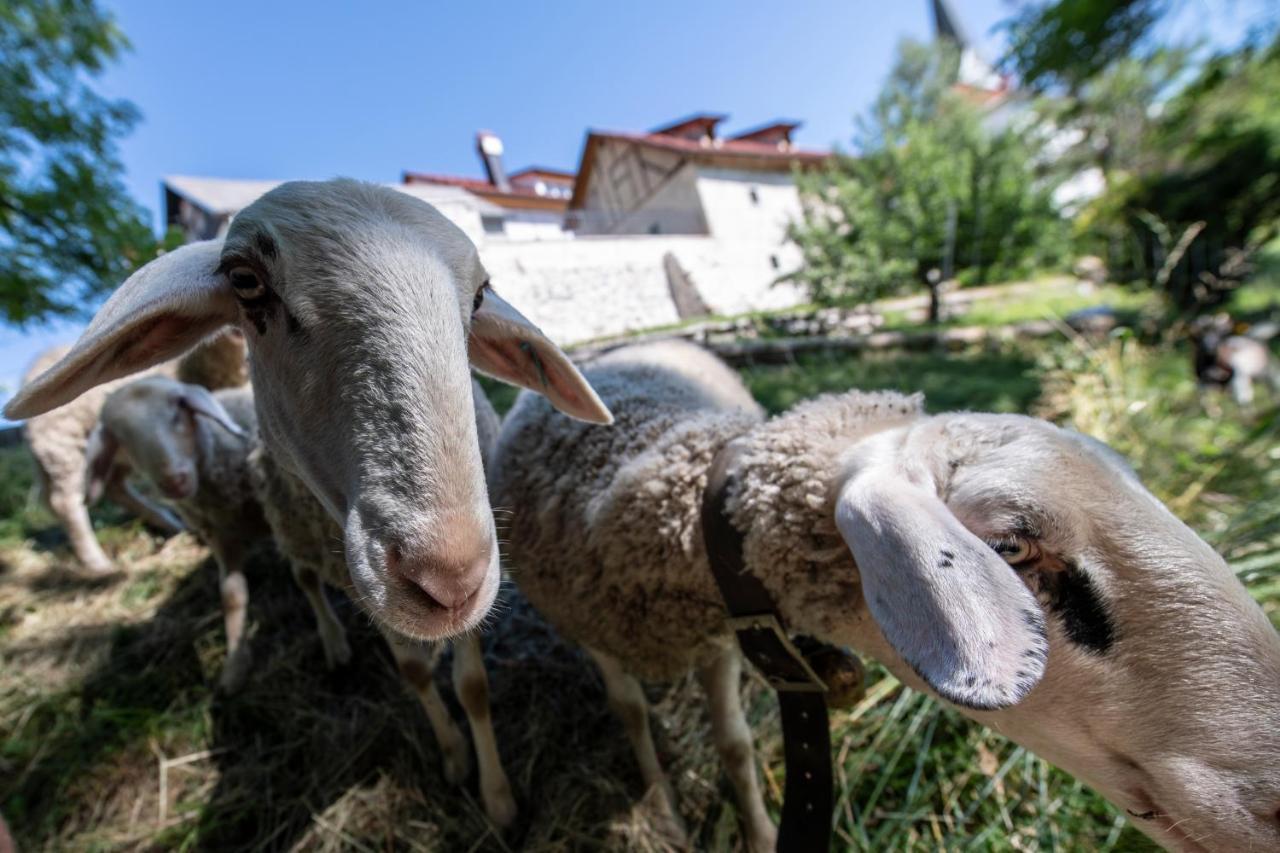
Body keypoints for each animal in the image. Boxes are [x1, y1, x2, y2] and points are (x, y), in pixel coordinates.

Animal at [18, 327, 249, 573]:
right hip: (64, 446)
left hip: (114, 455)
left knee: (113, 487)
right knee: (66, 502)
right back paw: (97, 563)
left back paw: (170, 523)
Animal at [85, 376, 267, 691]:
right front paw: (234, 665)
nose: (173, 481)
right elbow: (232, 594)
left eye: (177, 411)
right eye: (122, 438)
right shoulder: (220, 536)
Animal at [488, 338, 1280, 850]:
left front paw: (757, 828)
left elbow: (738, 745)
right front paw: (666, 816)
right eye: (1011, 547)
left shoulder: (724, 640)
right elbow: (631, 715)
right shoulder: (596, 632)